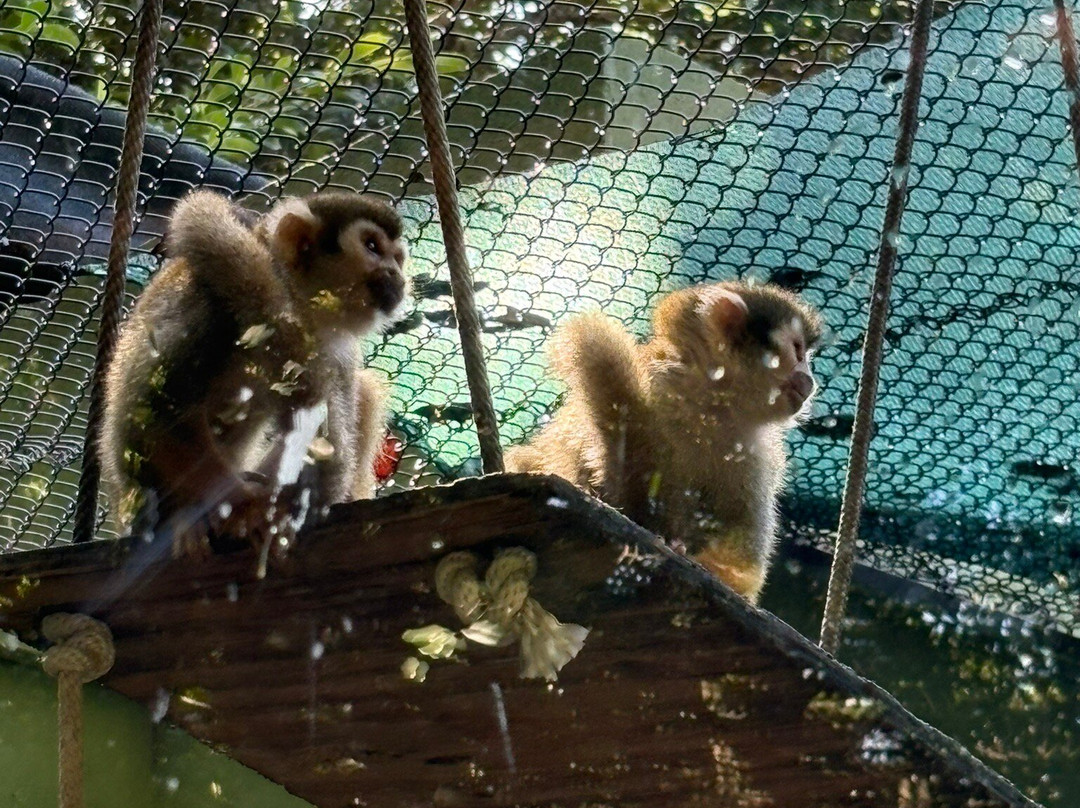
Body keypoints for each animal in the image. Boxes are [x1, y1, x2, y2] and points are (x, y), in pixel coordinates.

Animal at [100, 189, 409, 556]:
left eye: (398, 258)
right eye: (372, 247)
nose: (397, 276)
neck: (298, 304)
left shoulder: (341, 352)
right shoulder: (206, 304)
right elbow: (154, 416)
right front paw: (242, 507)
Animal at [505, 281, 823, 603]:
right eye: (798, 351)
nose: (810, 380)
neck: (712, 406)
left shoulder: (756, 453)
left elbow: (744, 567)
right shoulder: (655, 387)